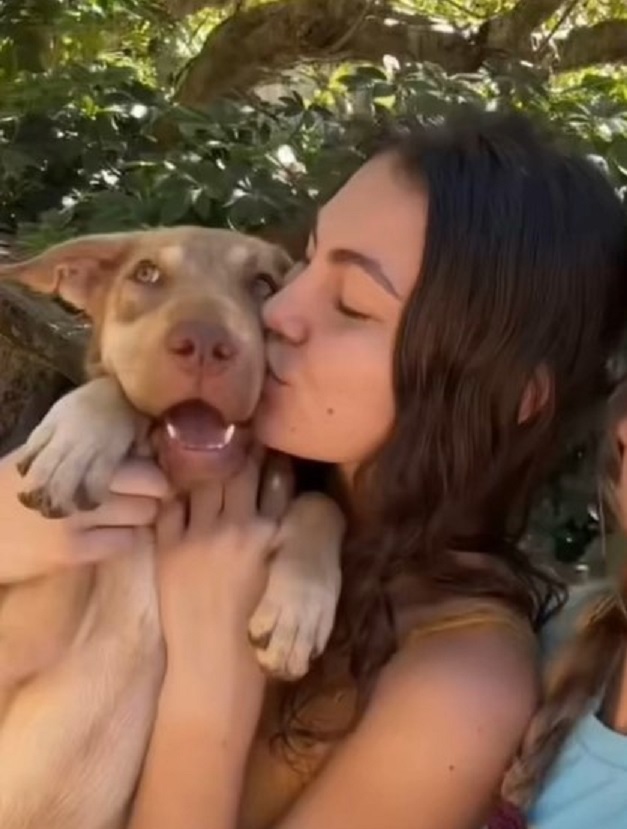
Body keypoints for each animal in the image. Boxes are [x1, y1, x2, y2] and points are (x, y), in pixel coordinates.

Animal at [0, 230, 344, 828]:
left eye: (264, 285)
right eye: (146, 274)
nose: (206, 343)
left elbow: (324, 504)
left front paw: (298, 608)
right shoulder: (23, 629)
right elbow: (115, 391)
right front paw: (78, 436)